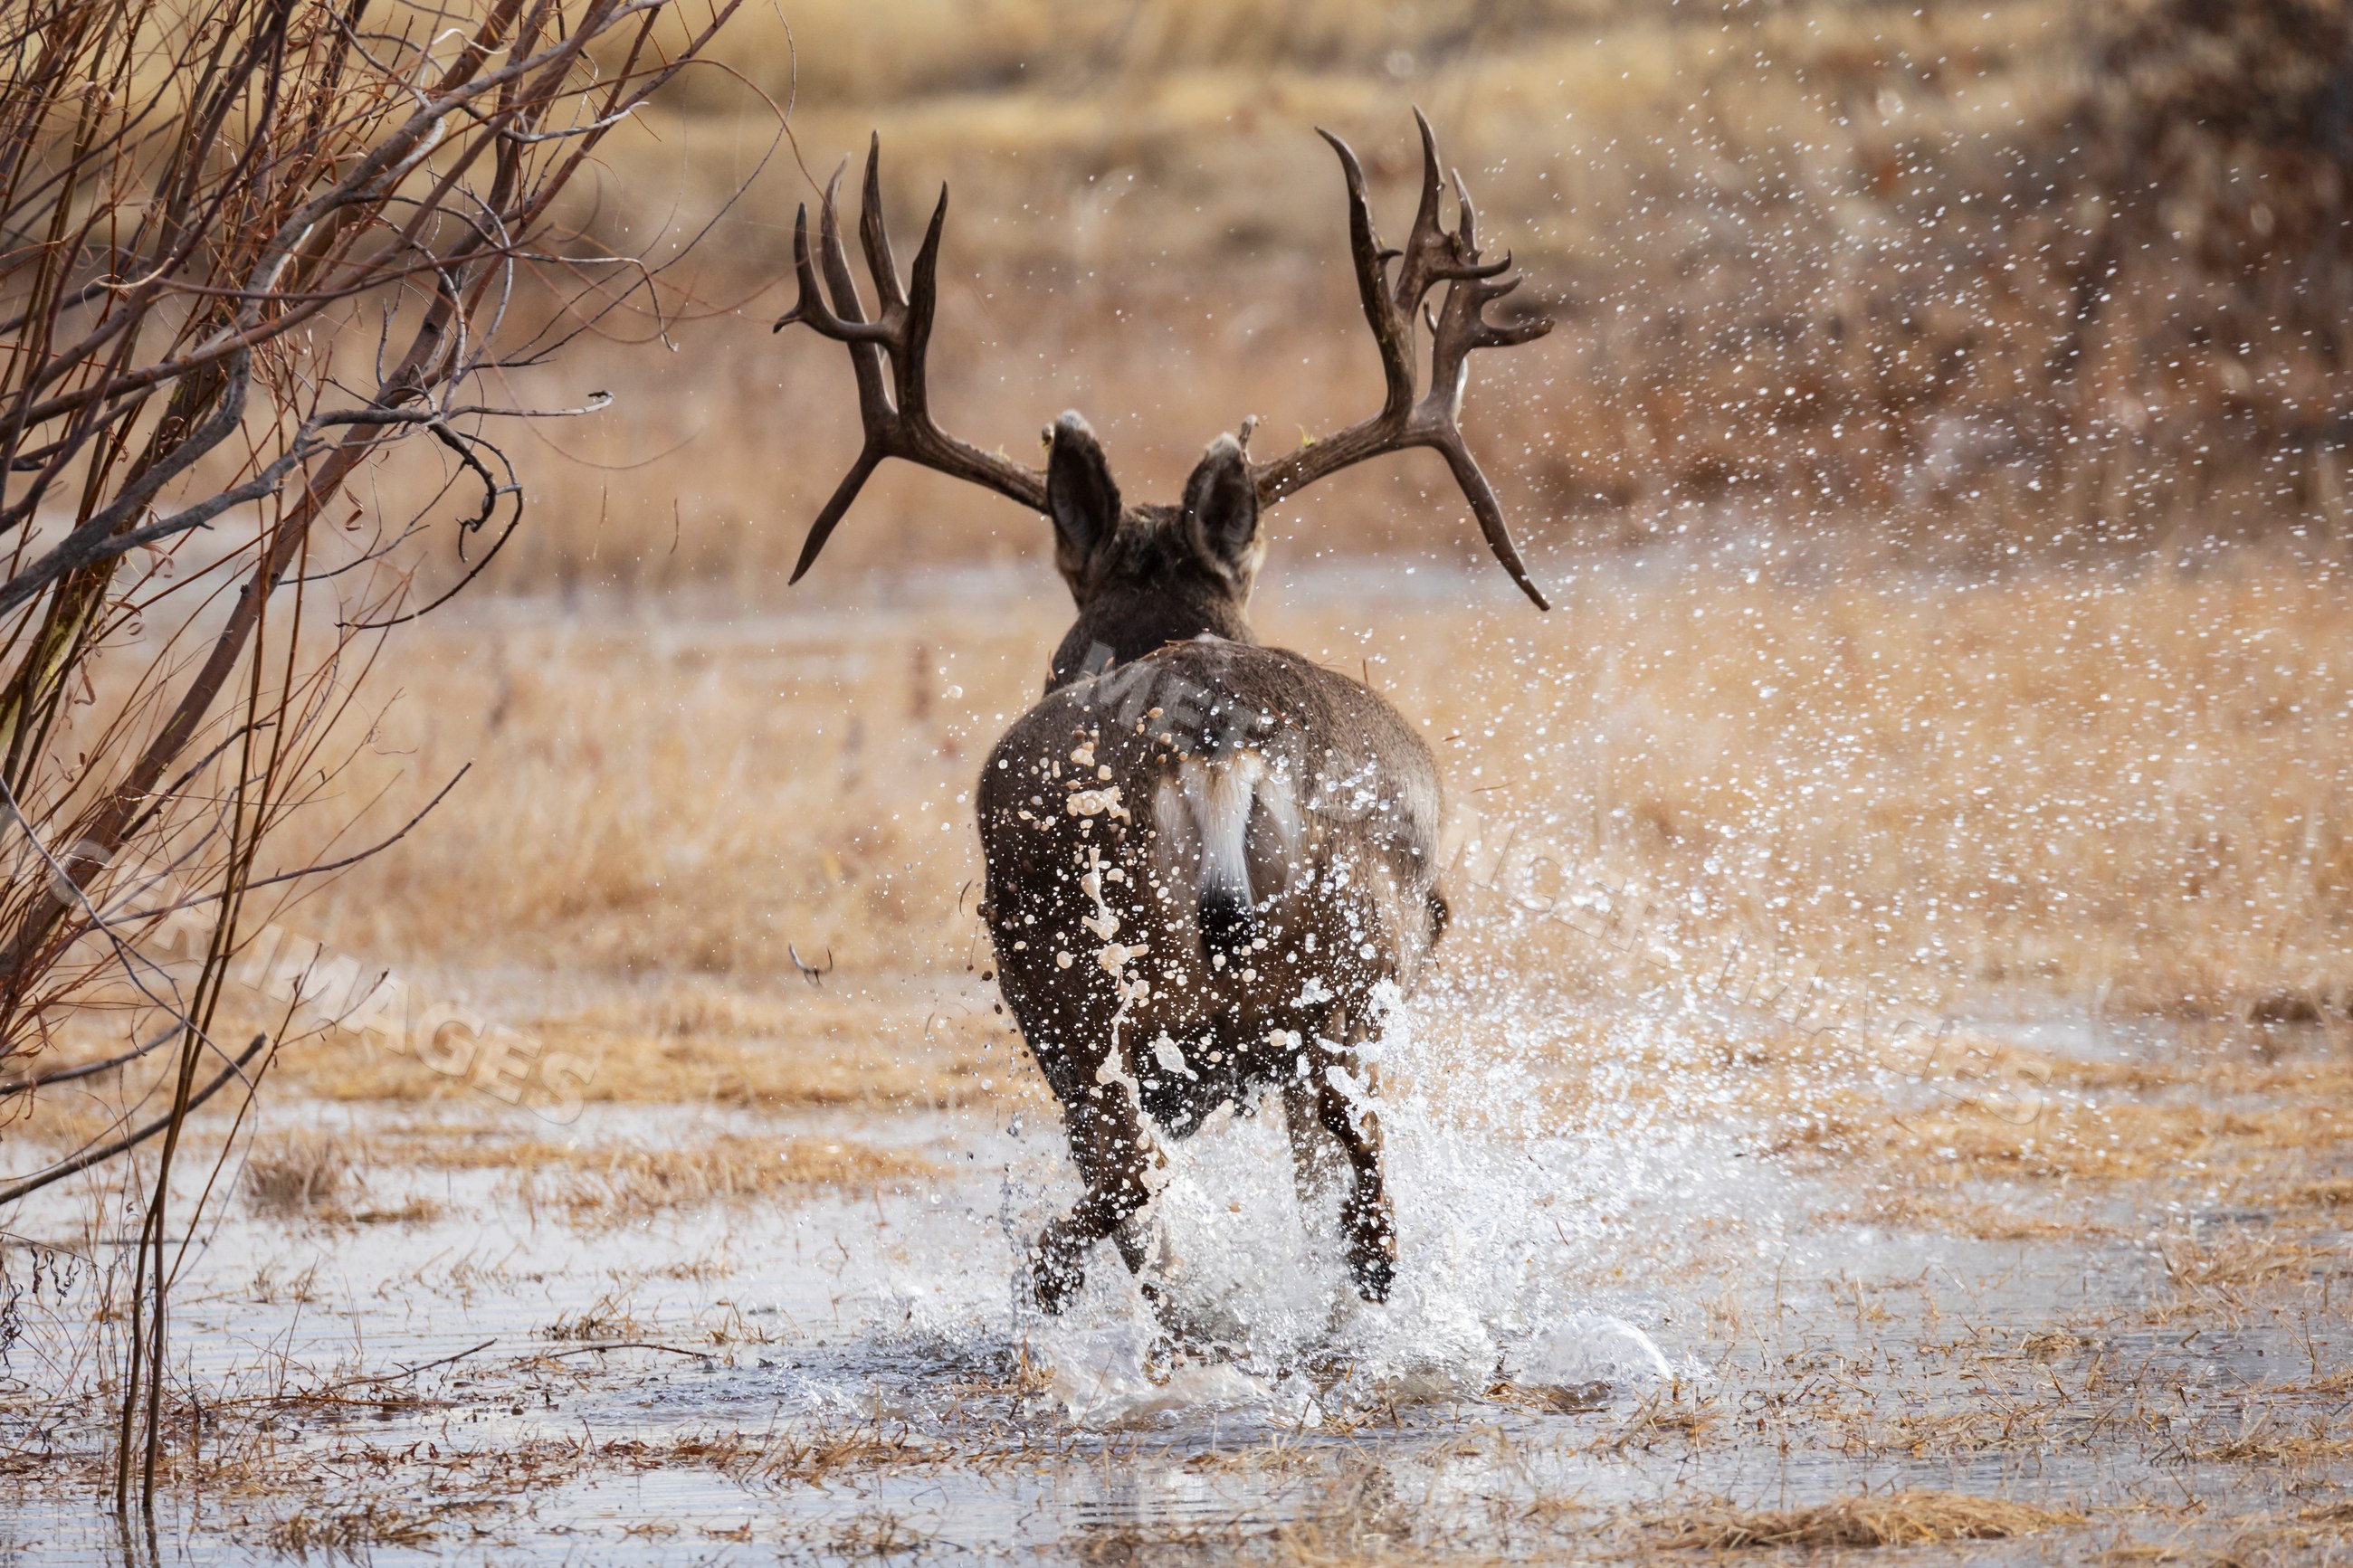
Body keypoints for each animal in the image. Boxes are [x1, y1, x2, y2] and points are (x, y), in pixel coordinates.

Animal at [775, 112, 1550, 1322]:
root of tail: (1218, 738)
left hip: (1073, 962)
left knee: (1135, 1171)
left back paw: (1137, 1312)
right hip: (1348, 968)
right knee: (1359, 1205)